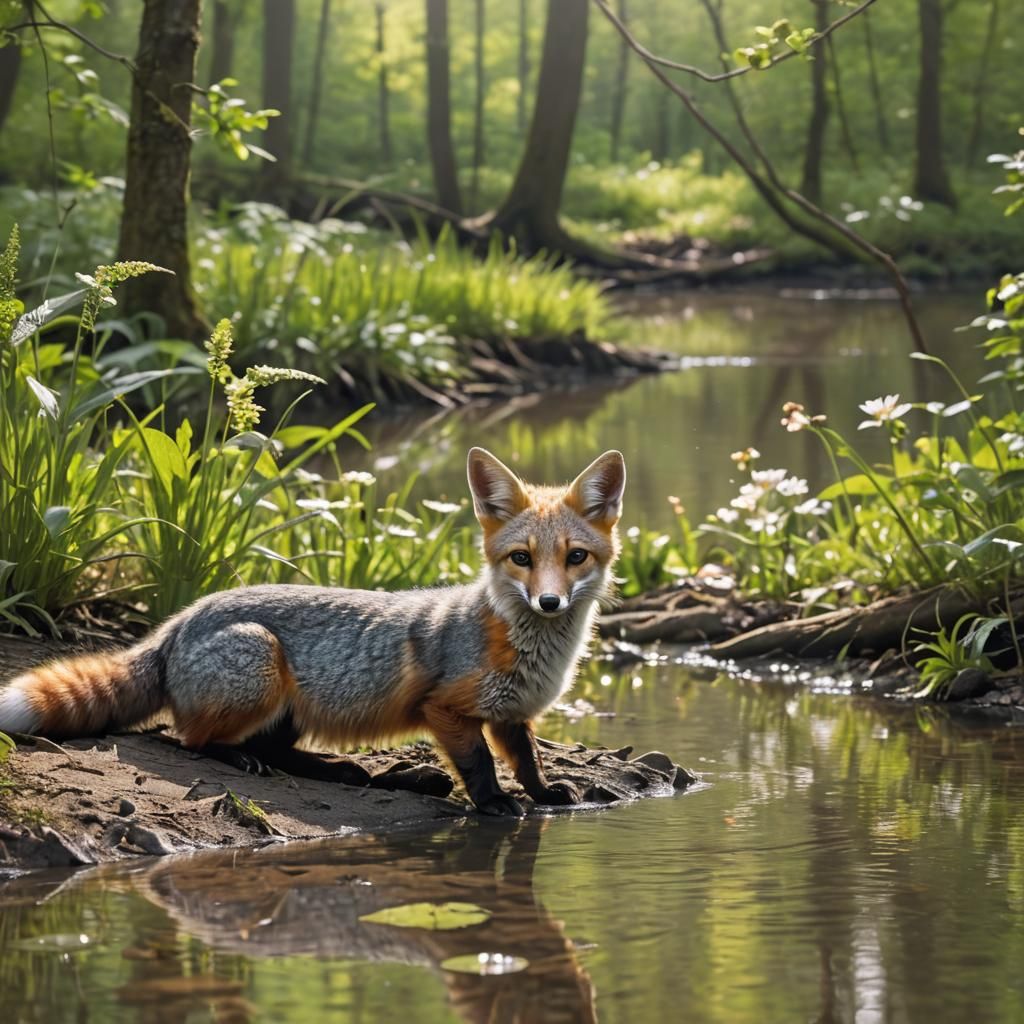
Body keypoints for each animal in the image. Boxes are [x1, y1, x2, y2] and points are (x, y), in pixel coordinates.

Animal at [0, 448, 625, 816]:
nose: (549, 601)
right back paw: (256, 763)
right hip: (260, 669)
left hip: (286, 713)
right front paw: (494, 803)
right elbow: (479, 764)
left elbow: (527, 760)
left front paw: (542, 793)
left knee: (281, 754)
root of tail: (179, 620)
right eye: (522, 558)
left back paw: (364, 774)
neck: (530, 653)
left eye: (575, 557)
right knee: (190, 741)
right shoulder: (447, 709)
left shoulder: (513, 715)